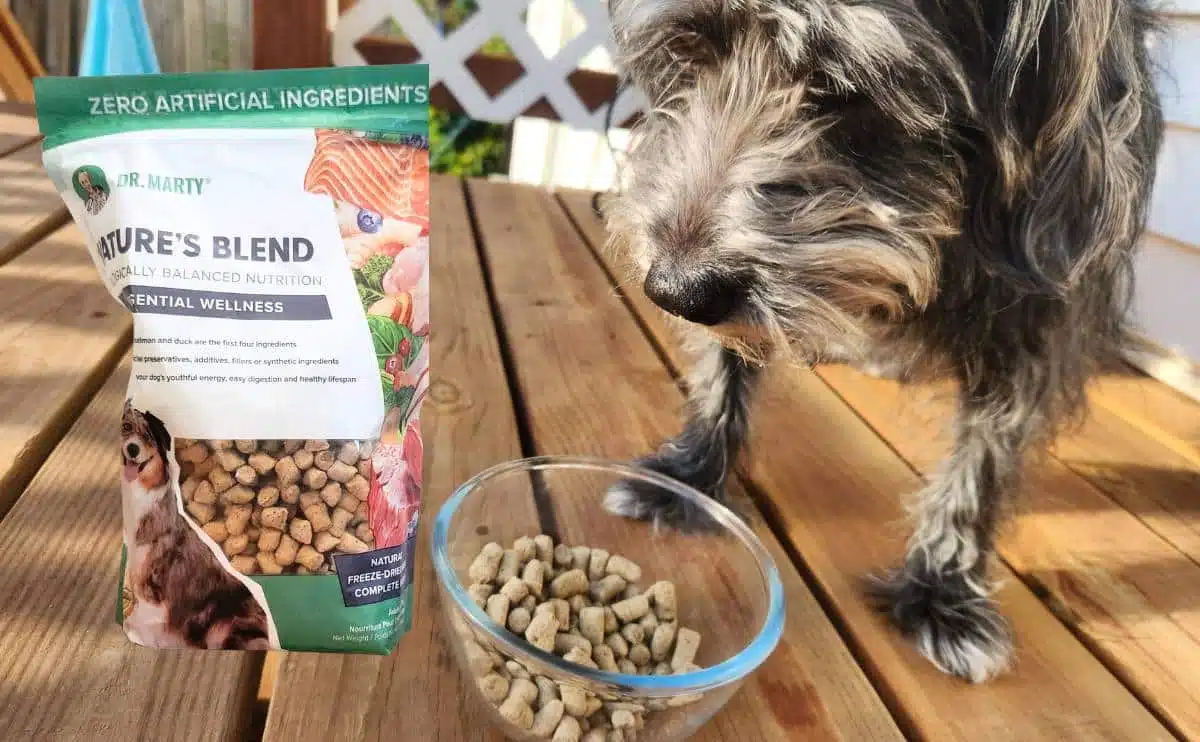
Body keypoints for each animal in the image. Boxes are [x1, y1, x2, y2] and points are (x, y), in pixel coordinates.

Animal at [604, 0, 1166, 681]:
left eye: (848, 89)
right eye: (686, 49)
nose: (675, 290)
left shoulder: (1040, 295)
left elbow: (986, 454)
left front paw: (943, 593)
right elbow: (723, 367)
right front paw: (687, 474)